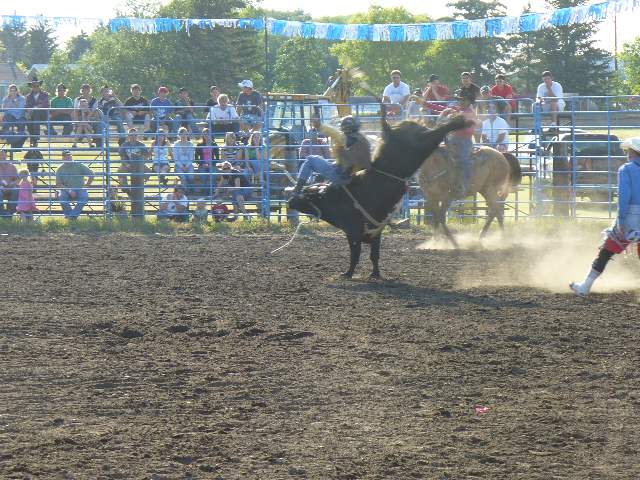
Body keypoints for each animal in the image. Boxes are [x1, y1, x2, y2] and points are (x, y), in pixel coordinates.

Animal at [288, 115, 470, 278]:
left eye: (306, 195)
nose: (290, 201)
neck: (331, 198)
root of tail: (392, 129)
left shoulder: (352, 233)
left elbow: (355, 254)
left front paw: (348, 273)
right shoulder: (375, 234)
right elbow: (374, 255)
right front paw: (375, 274)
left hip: (419, 146)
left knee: (436, 133)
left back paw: (461, 121)